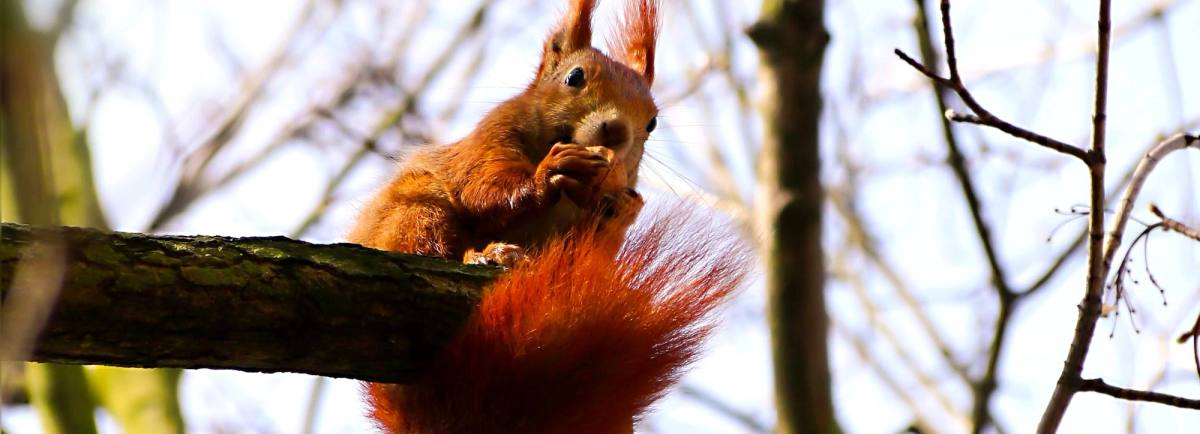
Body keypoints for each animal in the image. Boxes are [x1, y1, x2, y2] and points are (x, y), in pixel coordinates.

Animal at [349, 0, 747, 432]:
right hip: (416, 210)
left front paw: (619, 212)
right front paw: (548, 174)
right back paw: (486, 254)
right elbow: (483, 188)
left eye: (653, 121)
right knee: (430, 245)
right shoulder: (488, 141)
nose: (616, 130)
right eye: (575, 77)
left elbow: (586, 258)